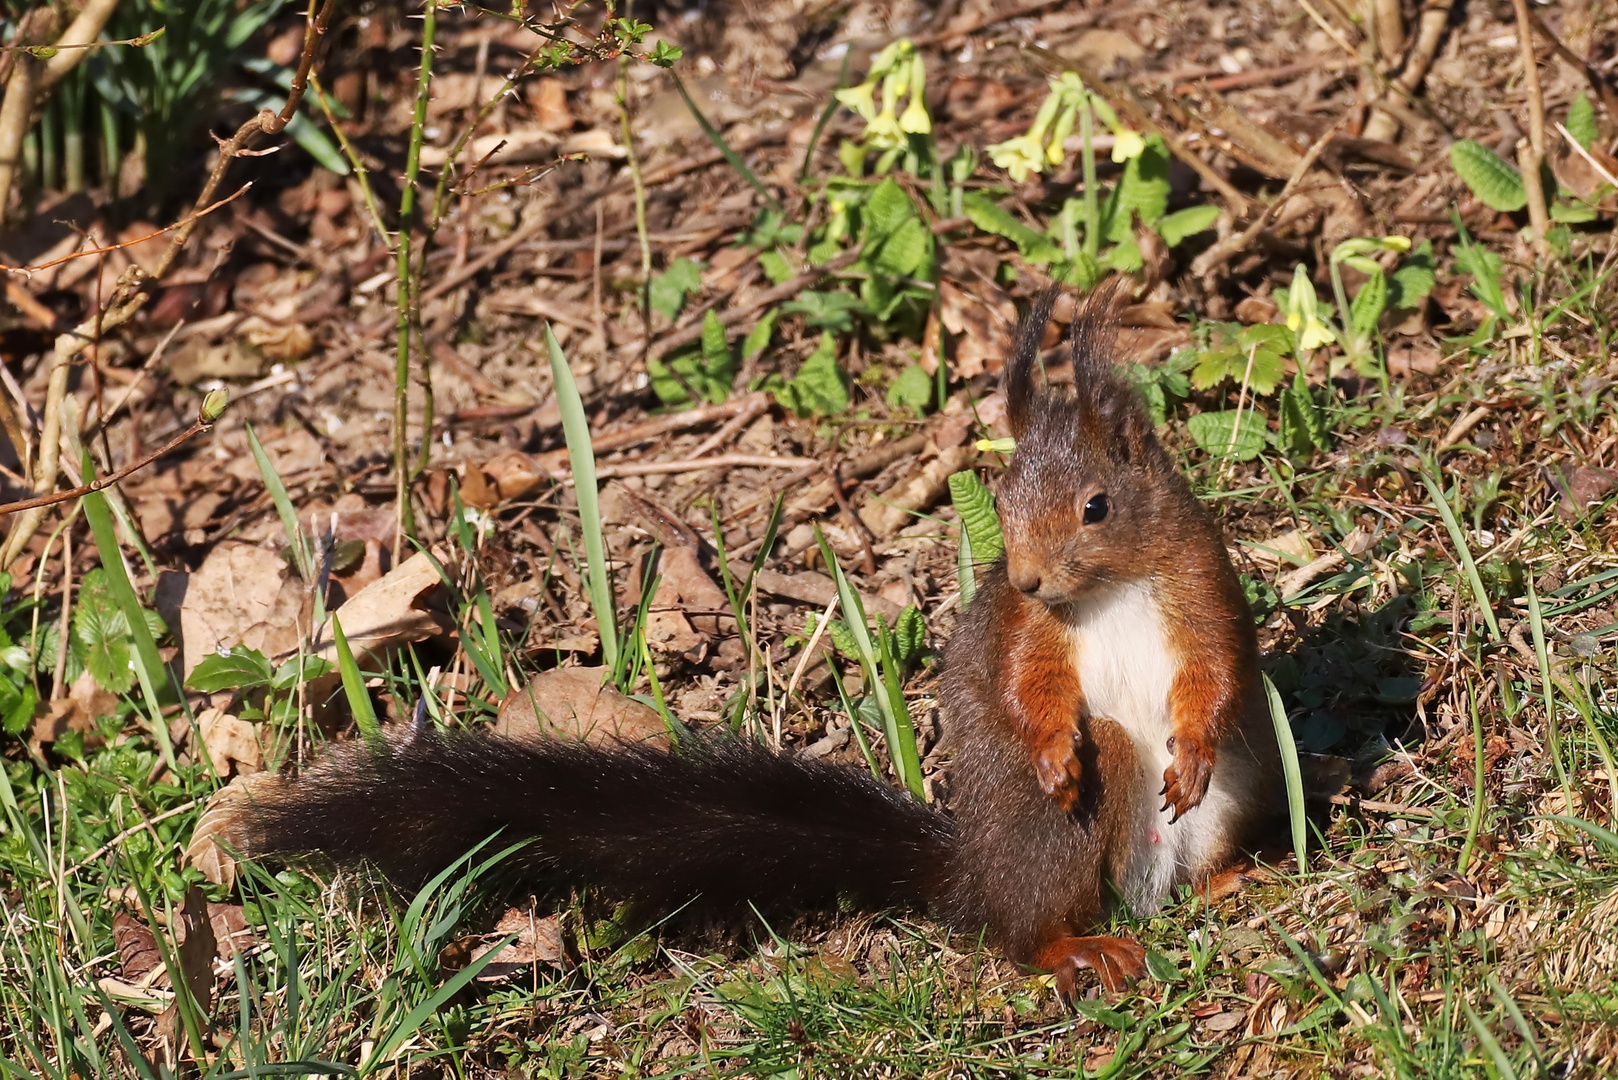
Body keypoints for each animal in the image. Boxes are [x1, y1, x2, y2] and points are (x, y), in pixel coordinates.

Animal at [218, 284, 1274, 997]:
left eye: (1096, 506)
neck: (1109, 590)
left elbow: (1220, 668)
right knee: (1030, 924)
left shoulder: (1198, 584)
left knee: (1195, 853)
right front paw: (1054, 747)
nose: (1023, 578)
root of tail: (971, 874)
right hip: (1056, 840)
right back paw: (1075, 944)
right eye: (1004, 500)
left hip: (1230, 802)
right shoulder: (1029, 634)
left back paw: (1229, 883)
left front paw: (1193, 741)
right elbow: (1025, 687)